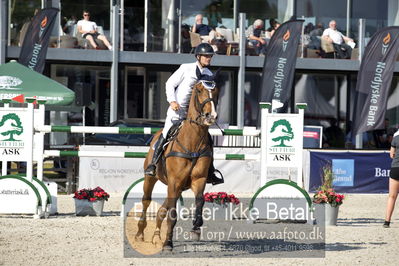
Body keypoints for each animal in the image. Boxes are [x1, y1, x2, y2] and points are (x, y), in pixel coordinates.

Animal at [136, 68, 220, 251]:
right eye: (199, 90)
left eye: (216, 91)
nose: (211, 116)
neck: (192, 142)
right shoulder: (174, 182)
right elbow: (172, 215)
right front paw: (168, 243)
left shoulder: (198, 180)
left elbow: (200, 201)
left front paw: (196, 227)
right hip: (151, 179)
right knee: (146, 201)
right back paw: (140, 233)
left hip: (178, 186)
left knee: (162, 210)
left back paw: (156, 237)